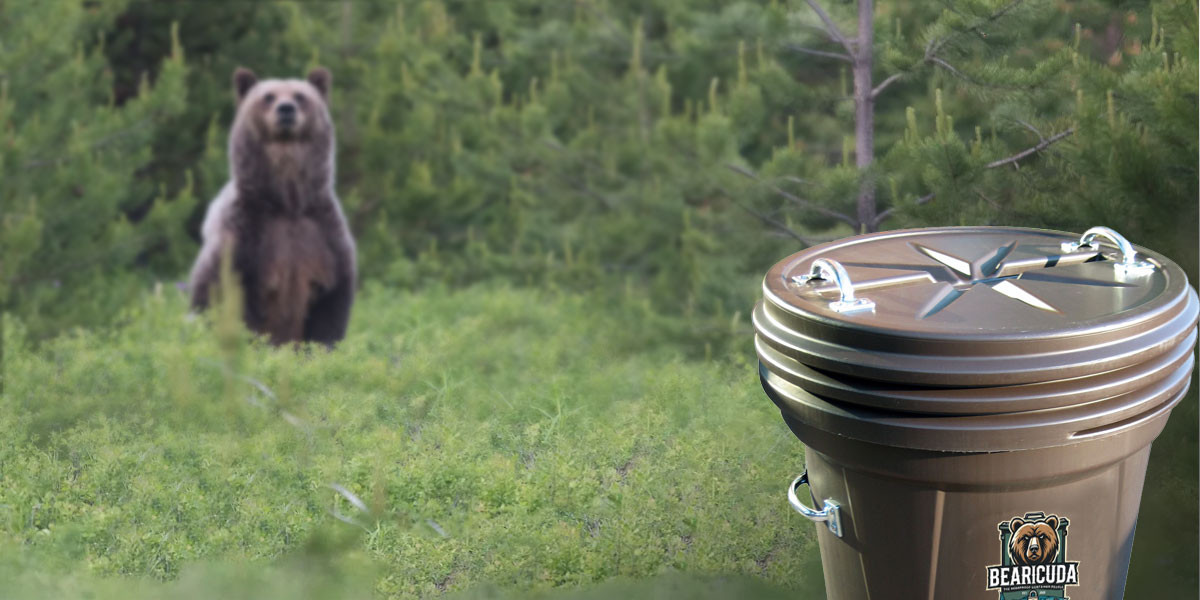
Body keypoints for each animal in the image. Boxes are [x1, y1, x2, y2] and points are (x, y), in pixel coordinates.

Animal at [188, 67, 356, 347]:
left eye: (300, 95)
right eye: (268, 96)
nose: (286, 109)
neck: (287, 203)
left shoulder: (322, 234)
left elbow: (330, 306)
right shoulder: (245, 234)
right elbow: (220, 294)